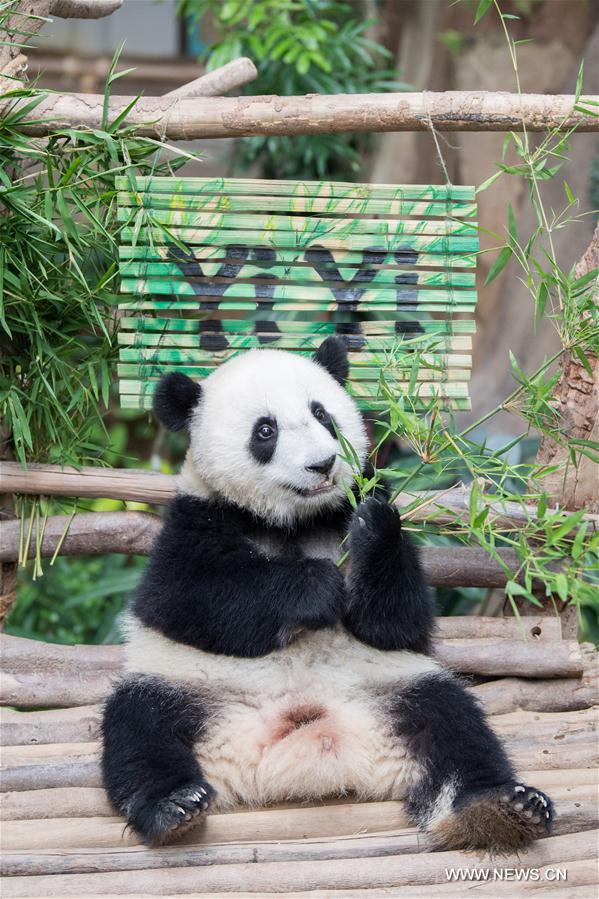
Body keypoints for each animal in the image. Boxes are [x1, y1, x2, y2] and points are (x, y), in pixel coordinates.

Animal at [101, 337, 553, 851]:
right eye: (265, 430)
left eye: (322, 415)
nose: (323, 463)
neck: (293, 521)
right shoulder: (193, 521)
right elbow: (187, 600)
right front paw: (315, 587)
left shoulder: (356, 513)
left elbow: (401, 621)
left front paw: (373, 528)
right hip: (187, 689)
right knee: (139, 729)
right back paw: (173, 806)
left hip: (396, 689)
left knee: (453, 722)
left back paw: (498, 808)